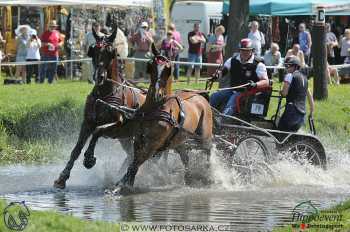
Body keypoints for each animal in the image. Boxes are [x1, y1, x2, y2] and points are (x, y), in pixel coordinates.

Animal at [52, 27, 146, 190]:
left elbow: (98, 131)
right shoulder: (87, 122)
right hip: (126, 138)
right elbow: (76, 149)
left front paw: (89, 158)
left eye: (111, 52)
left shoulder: (118, 123)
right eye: (93, 50)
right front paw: (62, 177)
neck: (104, 95)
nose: (99, 76)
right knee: (132, 155)